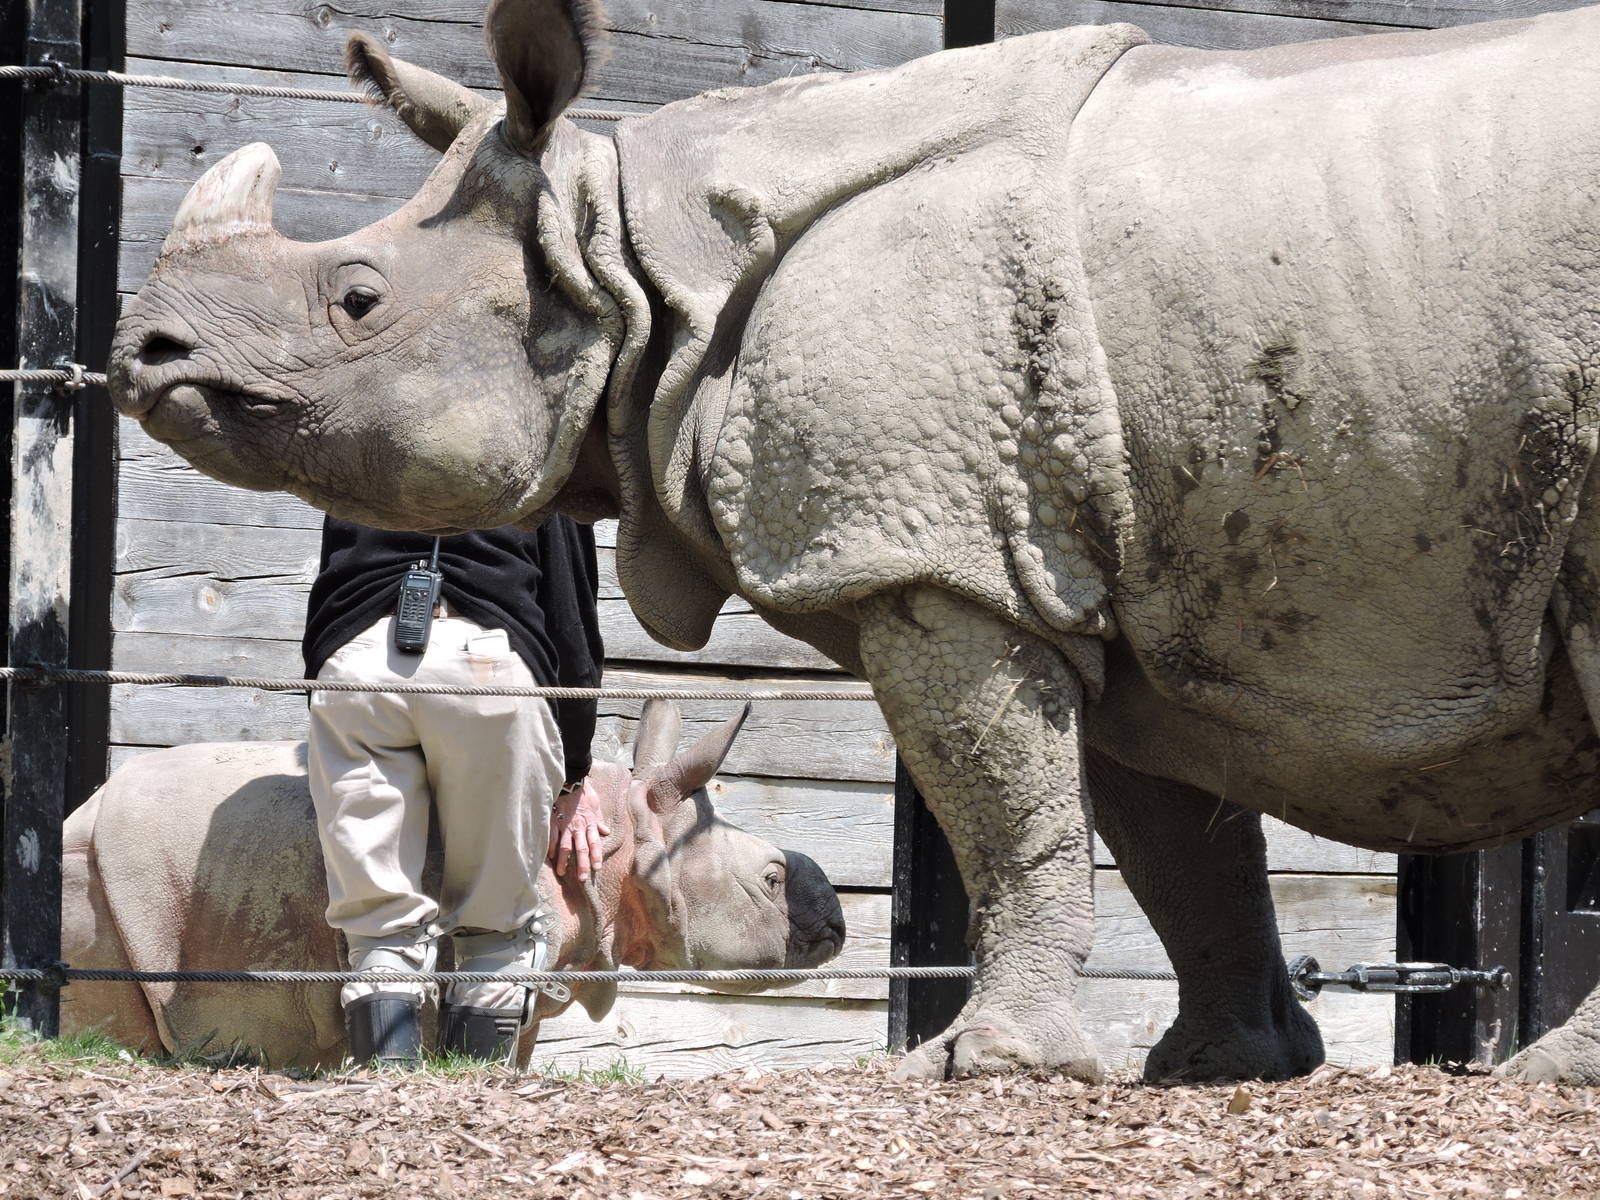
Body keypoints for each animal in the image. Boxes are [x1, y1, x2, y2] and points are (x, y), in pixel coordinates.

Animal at [61, 702, 846, 1067]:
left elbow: (519, 1031)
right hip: (99, 870)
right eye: (772, 879)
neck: (626, 840)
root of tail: (82, 807)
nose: (838, 927)